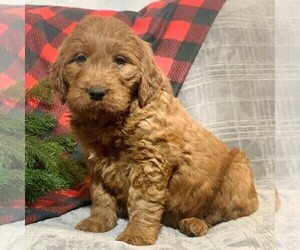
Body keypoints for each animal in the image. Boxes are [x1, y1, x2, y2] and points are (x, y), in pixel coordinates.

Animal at [50, 16, 258, 246]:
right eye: (80, 58)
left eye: (120, 61)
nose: (96, 92)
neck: (114, 120)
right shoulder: (96, 162)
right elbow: (101, 195)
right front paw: (98, 222)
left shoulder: (150, 162)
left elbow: (143, 202)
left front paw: (137, 235)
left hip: (237, 174)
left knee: (218, 215)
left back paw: (194, 223)